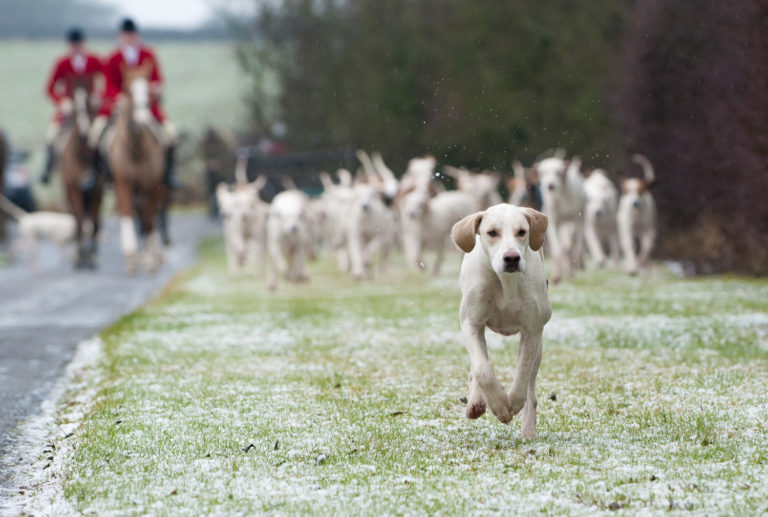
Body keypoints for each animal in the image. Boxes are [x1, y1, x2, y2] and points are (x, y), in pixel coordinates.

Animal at [57, 86, 104, 269]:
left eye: (90, 106)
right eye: (76, 111)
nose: (84, 134)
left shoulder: (97, 191)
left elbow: (93, 223)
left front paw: (92, 256)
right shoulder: (74, 190)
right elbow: (80, 222)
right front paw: (81, 257)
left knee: (92, 221)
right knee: (79, 221)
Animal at [104, 76, 166, 274]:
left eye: (148, 93)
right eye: (128, 92)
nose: (141, 119)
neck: (136, 147)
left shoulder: (151, 184)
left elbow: (148, 220)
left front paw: (150, 260)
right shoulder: (122, 183)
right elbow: (127, 214)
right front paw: (131, 257)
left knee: (152, 216)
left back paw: (155, 254)